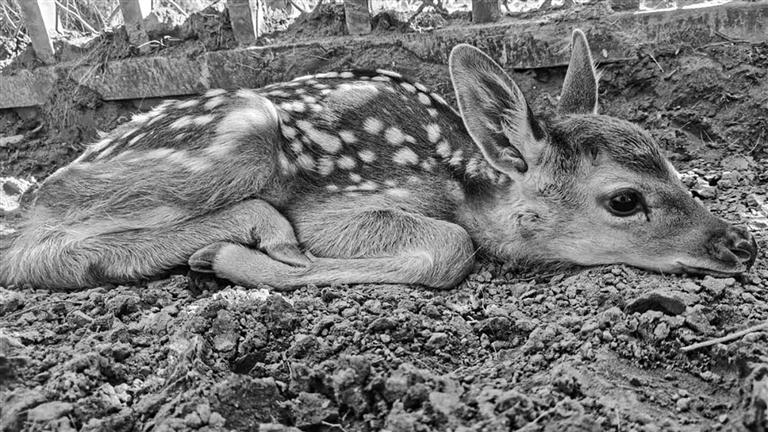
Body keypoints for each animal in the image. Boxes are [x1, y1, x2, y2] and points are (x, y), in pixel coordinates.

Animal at [0, 30, 758, 290]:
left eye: (675, 168)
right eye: (625, 199)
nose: (741, 244)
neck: (463, 182)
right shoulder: (340, 205)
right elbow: (450, 248)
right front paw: (241, 259)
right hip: (239, 138)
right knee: (33, 247)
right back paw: (246, 234)